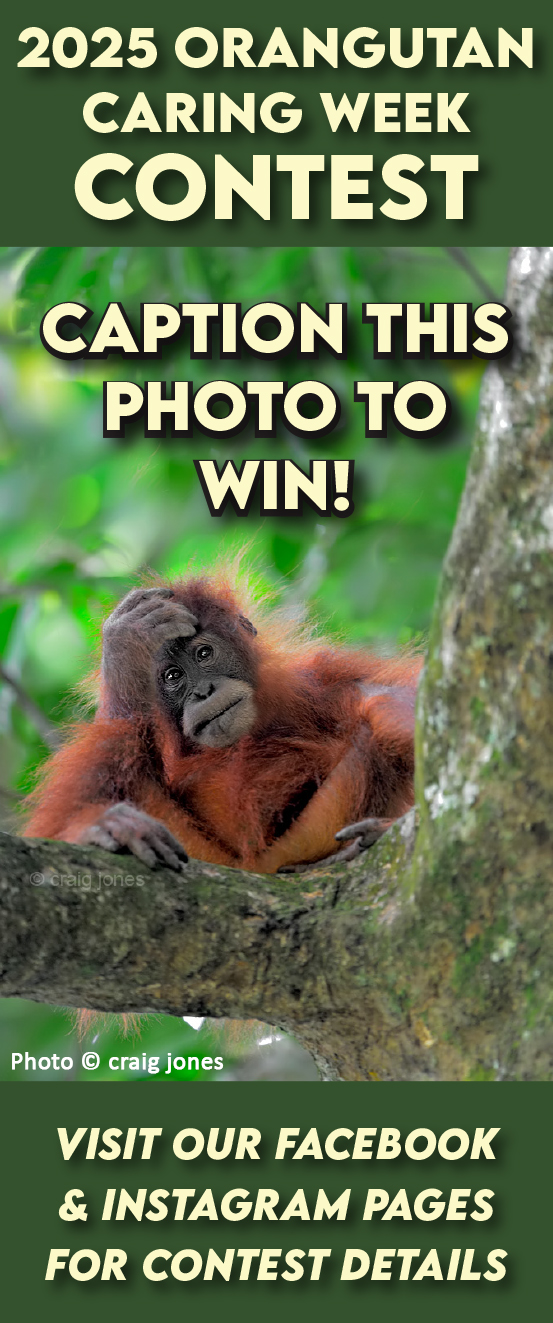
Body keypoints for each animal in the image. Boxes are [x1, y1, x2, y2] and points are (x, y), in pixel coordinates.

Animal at [23, 572, 421, 875]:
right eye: (173, 676)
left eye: (204, 653)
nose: (203, 691)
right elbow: (120, 730)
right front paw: (123, 643)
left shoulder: (325, 678)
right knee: (119, 740)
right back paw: (109, 828)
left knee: (378, 703)